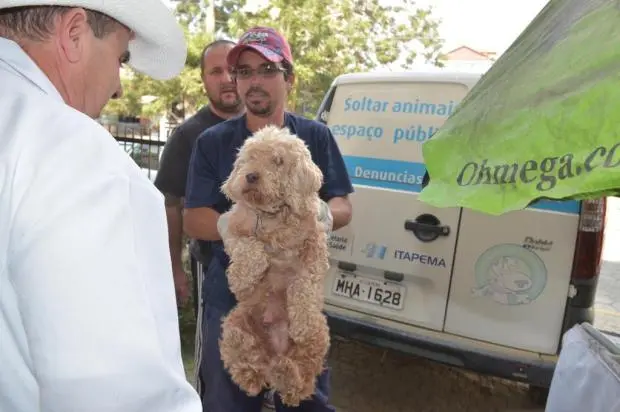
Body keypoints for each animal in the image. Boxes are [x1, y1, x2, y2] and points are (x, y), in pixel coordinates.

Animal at [219, 122, 332, 406]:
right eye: (249, 158)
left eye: (278, 160)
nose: (250, 176)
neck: (274, 218)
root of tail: (275, 353)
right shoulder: (233, 229)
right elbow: (251, 249)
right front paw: (241, 280)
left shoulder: (315, 244)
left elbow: (305, 282)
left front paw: (300, 320)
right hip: (235, 325)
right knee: (247, 364)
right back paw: (256, 377)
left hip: (319, 335)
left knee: (302, 382)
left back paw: (287, 374)